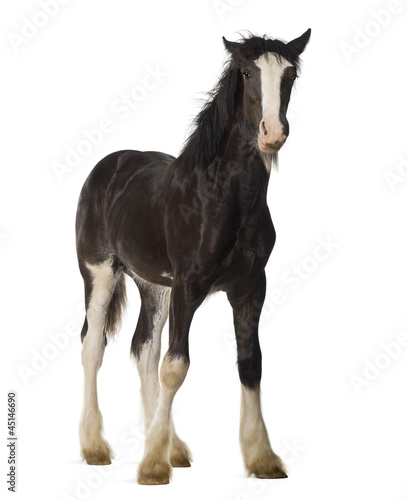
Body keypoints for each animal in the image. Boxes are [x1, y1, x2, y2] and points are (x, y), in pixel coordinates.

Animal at [76, 30, 310, 484]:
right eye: (246, 72)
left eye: (290, 74)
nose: (272, 133)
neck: (223, 197)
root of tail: (107, 166)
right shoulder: (189, 286)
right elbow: (176, 366)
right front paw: (152, 467)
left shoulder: (250, 288)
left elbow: (250, 363)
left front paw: (263, 459)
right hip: (100, 273)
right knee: (94, 346)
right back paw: (95, 447)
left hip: (154, 287)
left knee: (143, 350)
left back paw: (173, 446)